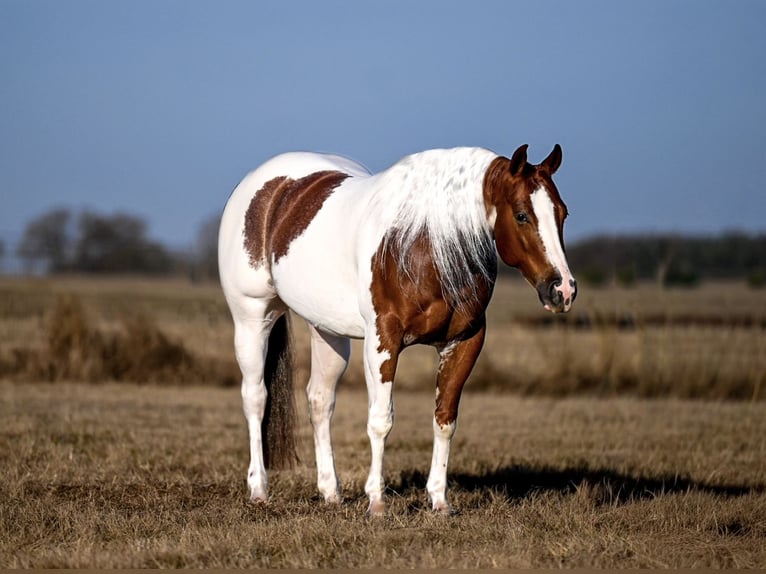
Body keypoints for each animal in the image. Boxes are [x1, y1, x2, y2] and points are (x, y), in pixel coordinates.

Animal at [218, 143, 577, 515]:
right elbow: (381, 420)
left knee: (319, 400)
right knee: (256, 398)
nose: (562, 290)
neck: (424, 244)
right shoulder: (383, 341)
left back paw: (330, 492)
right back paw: (259, 489)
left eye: (563, 214)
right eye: (521, 215)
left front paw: (439, 500)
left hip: (327, 331)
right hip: (252, 318)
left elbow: (444, 419)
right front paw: (376, 501)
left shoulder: (464, 341)